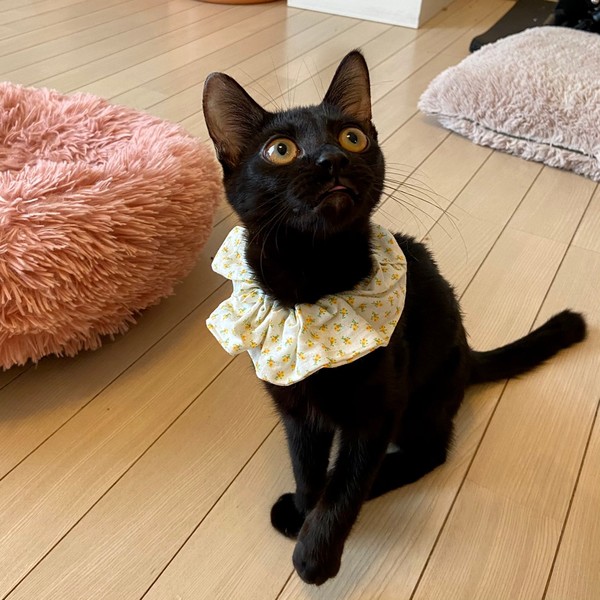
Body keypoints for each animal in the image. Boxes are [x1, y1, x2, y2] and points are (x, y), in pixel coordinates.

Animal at [202, 50, 587, 586]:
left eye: (352, 138)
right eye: (280, 150)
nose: (332, 159)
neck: (312, 284)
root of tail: (468, 353)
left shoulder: (379, 410)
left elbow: (345, 487)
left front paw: (315, 554)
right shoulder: (296, 407)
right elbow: (305, 466)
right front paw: (302, 509)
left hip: (422, 402)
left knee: (430, 453)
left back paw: (381, 479)